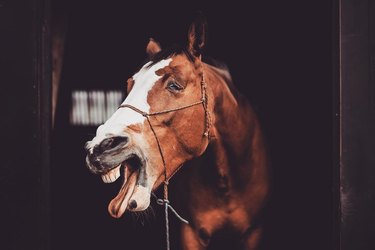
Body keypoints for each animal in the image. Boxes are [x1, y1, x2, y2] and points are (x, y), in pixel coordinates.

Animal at [85, 17, 270, 250]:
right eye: (129, 85)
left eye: (175, 85)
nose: (100, 147)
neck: (227, 183)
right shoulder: (191, 234)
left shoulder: (254, 233)